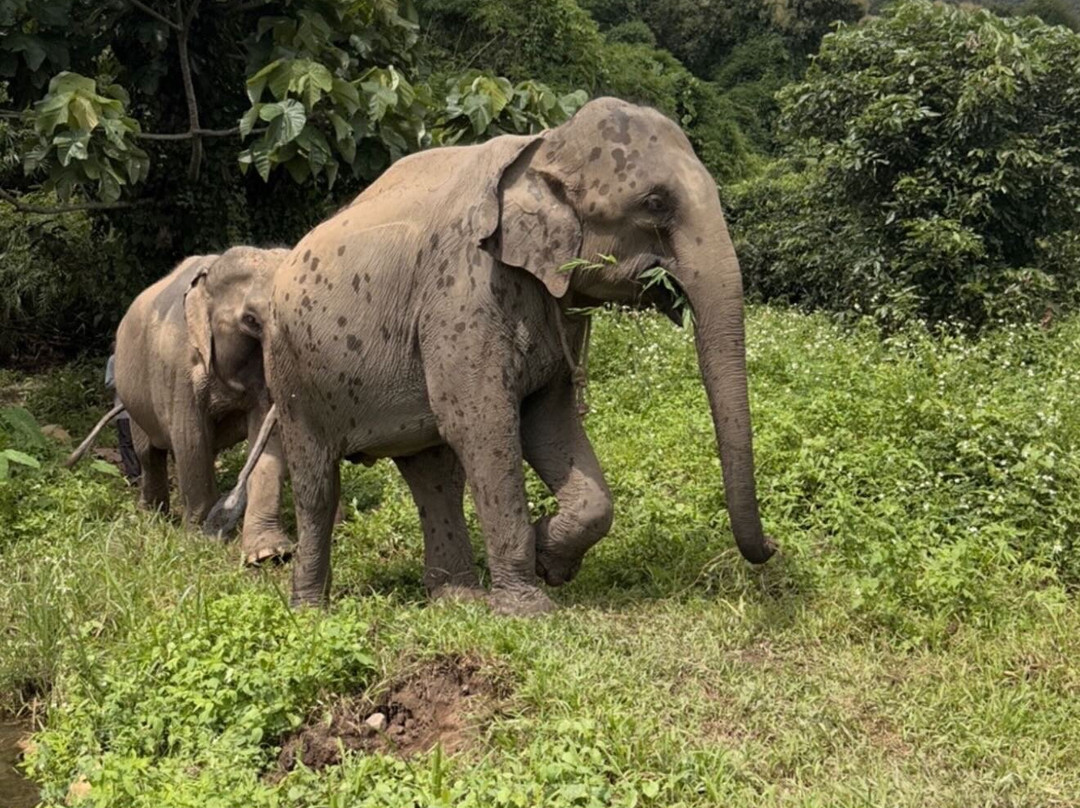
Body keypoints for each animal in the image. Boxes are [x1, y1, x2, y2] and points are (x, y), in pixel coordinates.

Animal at [67, 247, 296, 564]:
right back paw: (152, 517)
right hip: (136, 398)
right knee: (149, 453)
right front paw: (201, 538)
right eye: (251, 321)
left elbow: (267, 437)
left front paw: (268, 554)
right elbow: (191, 438)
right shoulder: (178, 367)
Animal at [257, 96, 776, 615]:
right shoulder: (462, 293)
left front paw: (550, 558)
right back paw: (311, 610)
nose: (773, 547)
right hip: (290, 373)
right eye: (654, 203)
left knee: (434, 475)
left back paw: (456, 599)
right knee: (318, 484)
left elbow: (549, 423)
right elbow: (483, 424)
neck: (545, 143)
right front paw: (530, 610)